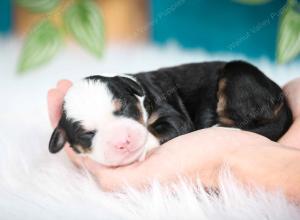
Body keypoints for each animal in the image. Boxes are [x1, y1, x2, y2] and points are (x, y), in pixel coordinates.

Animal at [49, 60, 292, 167]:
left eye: (124, 108)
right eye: (88, 134)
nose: (123, 142)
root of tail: (279, 95)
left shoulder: (173, 115)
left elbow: (163, 128)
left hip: (236, 76)